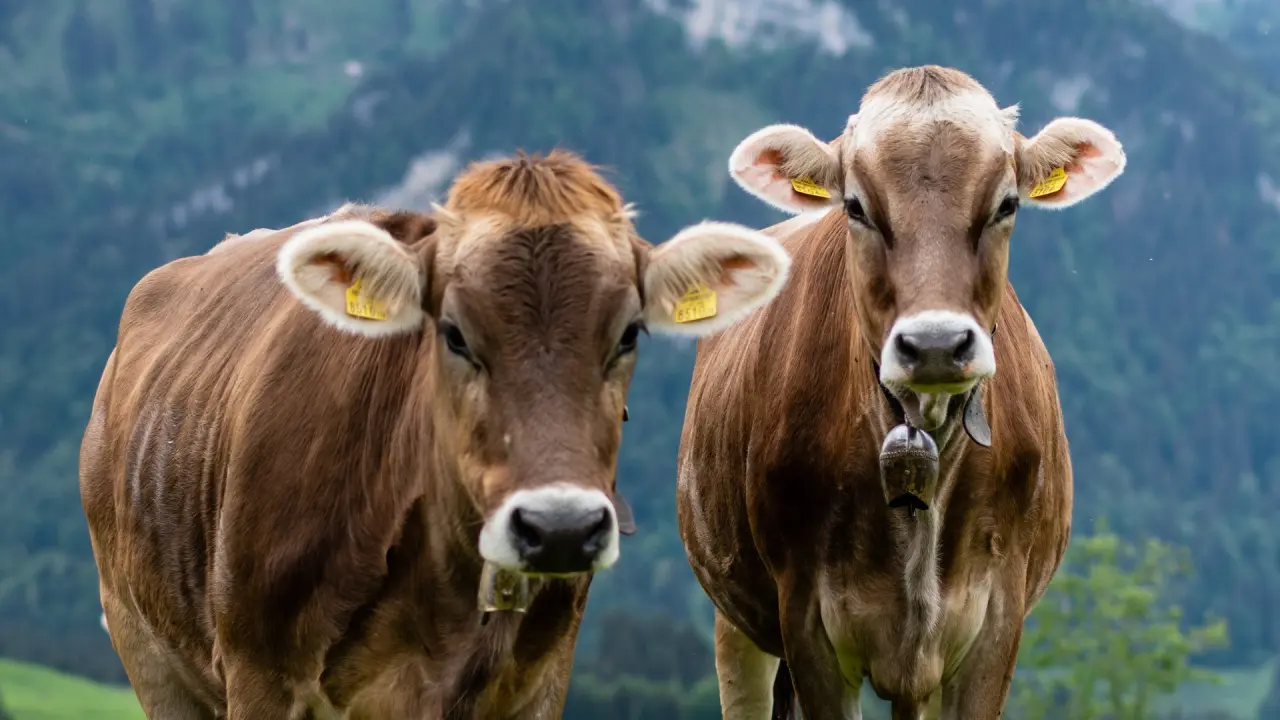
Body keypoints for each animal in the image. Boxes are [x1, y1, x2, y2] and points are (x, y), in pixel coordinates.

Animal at [80, 150, 793, 719]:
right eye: (453, 333)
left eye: (628, 333)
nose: (559, 527)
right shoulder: (260, 673)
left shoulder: (538, 684)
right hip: (147, 648)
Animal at [675, 65, 1127, 719]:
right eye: (855, 207)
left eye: (1007, 203)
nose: (936, 343)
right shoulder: (807, 621)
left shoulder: (995, 623)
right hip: (735, 621)